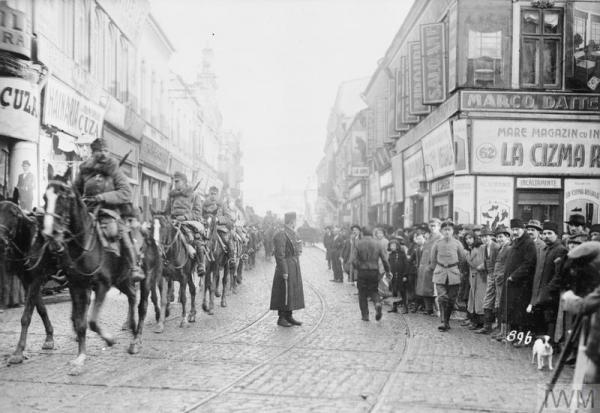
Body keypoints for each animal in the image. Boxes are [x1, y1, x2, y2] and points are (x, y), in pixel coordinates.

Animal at [0, 200, 57, 364]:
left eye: (14, 215)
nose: (0, 240)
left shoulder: (37, 278)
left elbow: (26, 317)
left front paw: (18, 352)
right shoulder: (26, 280)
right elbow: (40, 308)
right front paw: (49, 337)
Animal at [42, 180, 141, 374]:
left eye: (63, 198)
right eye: (45, 198)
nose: (50, 234)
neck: (84, 246)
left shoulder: (102, 285)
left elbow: (93, 321)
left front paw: (110, 339)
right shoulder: (76, 286)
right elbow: (80, 323)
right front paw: (80, 357)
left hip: (124, 278)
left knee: (135, 297)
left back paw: (134, 337)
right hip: (121, 281)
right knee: (132, 296)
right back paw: (131, 327)